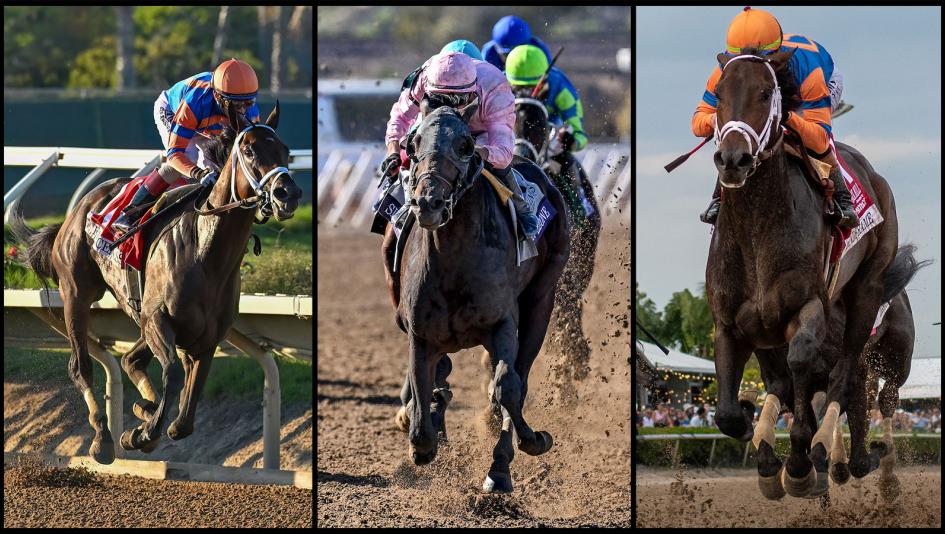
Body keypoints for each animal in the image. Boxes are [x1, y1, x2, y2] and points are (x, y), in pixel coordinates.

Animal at [10, 102, 300, 464]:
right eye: (248, 150)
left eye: (285, 151)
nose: (288, 193)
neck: (206, 252)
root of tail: (78, 210)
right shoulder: (158, 319)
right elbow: (173, 373)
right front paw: (143, 432)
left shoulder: (207, 338)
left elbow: (186, 417)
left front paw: (146, 425)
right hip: (78, 293)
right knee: (81, 365)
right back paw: (103, 438)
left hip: (137, 314)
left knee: (129, 360)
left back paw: (143, 409)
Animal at [383, 99, 570, 494]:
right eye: (413, 144)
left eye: (466, 145)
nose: (429, 202)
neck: (454, 263)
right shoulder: (420, 335)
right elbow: (422, 403)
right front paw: (424, 438)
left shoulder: (502, 323)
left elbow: (508, 387)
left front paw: (518, 452)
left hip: (542, 298)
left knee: (519, 378)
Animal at [705, 47, 907, 499]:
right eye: (718, 94)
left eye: (766, 94)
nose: (732, 159)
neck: (758, 230)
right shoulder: (733, 323)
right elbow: (731, 412)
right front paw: (762, 450)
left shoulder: (809, 307)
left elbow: (802, 370)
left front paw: (799, 463)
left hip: (870, 298)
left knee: (850, 378)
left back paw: (850, 461)